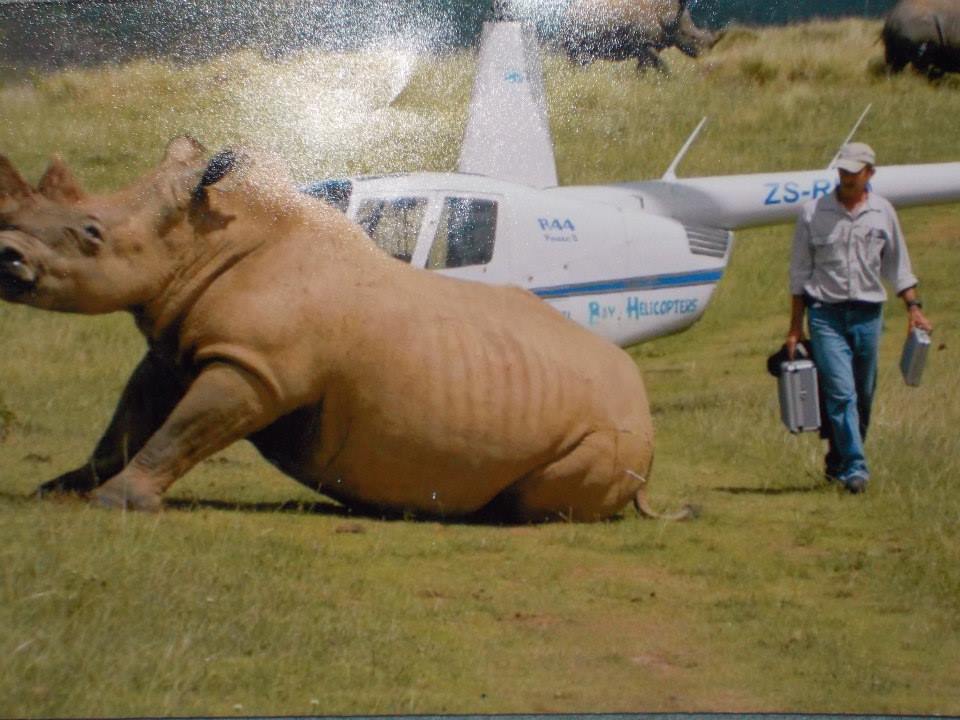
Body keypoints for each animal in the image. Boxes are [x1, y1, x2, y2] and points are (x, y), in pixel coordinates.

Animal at [0, 138, 681, 522]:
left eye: (91, 233)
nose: (7, 257)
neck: (205, 240)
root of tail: (644, 407)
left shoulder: (255, 368)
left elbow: (180, 431)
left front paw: (117, 504)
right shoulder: (174, 349)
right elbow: (125, 426)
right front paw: (56, 489)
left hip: (615, 431)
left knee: (538, 499)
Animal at [554, 0, 722, 72]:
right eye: (690, 36)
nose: (705, 55)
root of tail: (567, 13)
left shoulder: (649, 45)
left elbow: (644, 67)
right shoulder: (645, 43)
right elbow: (662, 65)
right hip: (575, 29)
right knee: (581, 56)